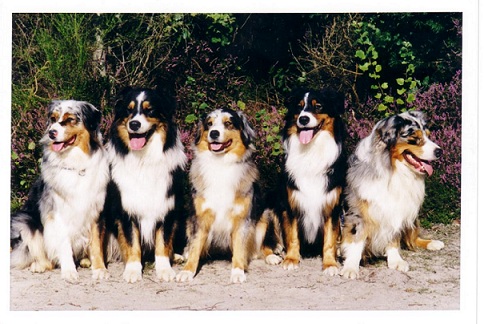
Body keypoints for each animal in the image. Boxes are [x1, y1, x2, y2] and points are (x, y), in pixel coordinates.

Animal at [10, 100, 109, 280]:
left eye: (70, 119)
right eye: (53, 119)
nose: (51, 133)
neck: (75, 164)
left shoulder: (96, 211)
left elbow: (97, 244)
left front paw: (99, 269)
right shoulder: (57, 213)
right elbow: (64, 244)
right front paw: (69, 271)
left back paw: (86, 260)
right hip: (25, 220)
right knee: (45, 258)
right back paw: (39, 265)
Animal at [103, 87, 188, 282]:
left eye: (150, 110)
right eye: (129, 110)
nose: (134, 124)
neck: (144, 159)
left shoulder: (167, 207)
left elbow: (163, 242)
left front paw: (164, 270)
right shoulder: (126, 210)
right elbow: (132, 242)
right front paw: (133, 270)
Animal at [176, 107, 262, 282]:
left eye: (228, 123)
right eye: (209, 124)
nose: (214, 133)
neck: (220, 164)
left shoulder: (242, 218)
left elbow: (239, 248)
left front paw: (237, 271)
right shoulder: (200, 218)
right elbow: (195, 246)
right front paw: (187, 270)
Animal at [340, 110, 446, 278]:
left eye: (428, 135)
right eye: (415, 139)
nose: (440, 151)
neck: (393, 170)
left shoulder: (398, 210)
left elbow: (394, 238)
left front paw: (396, 260)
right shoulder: (358, 214)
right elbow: (356, 241)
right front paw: (350, 267)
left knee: (412, 238)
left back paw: (432, 243)